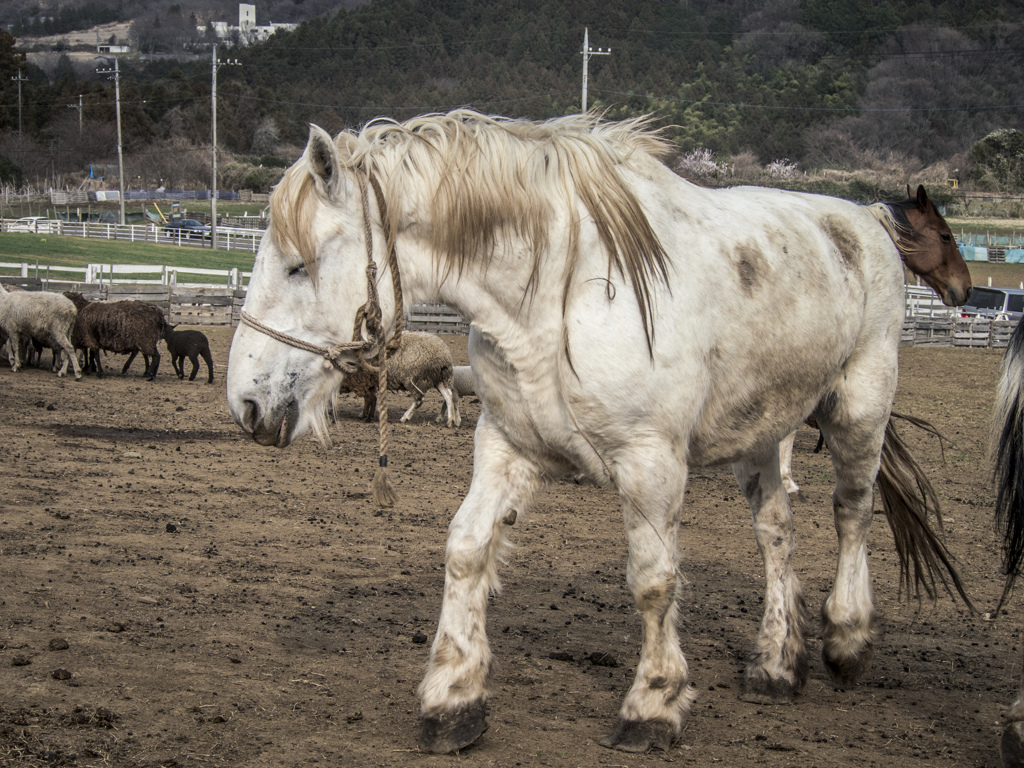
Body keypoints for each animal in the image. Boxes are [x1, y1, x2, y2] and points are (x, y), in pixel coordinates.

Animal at [228, 111, 970, 753]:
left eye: (298, 263)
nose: (245, 402)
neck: (555, 292)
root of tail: (866, 220)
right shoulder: (505, 444)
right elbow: (466, 551)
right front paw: (452, 697)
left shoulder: (650, 462)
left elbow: (654, 580)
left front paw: (654, 703)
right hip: (763, 428)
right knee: (776, 533)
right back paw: (776, 665)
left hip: (858, 410)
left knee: (852, 512)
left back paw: (847, 639)